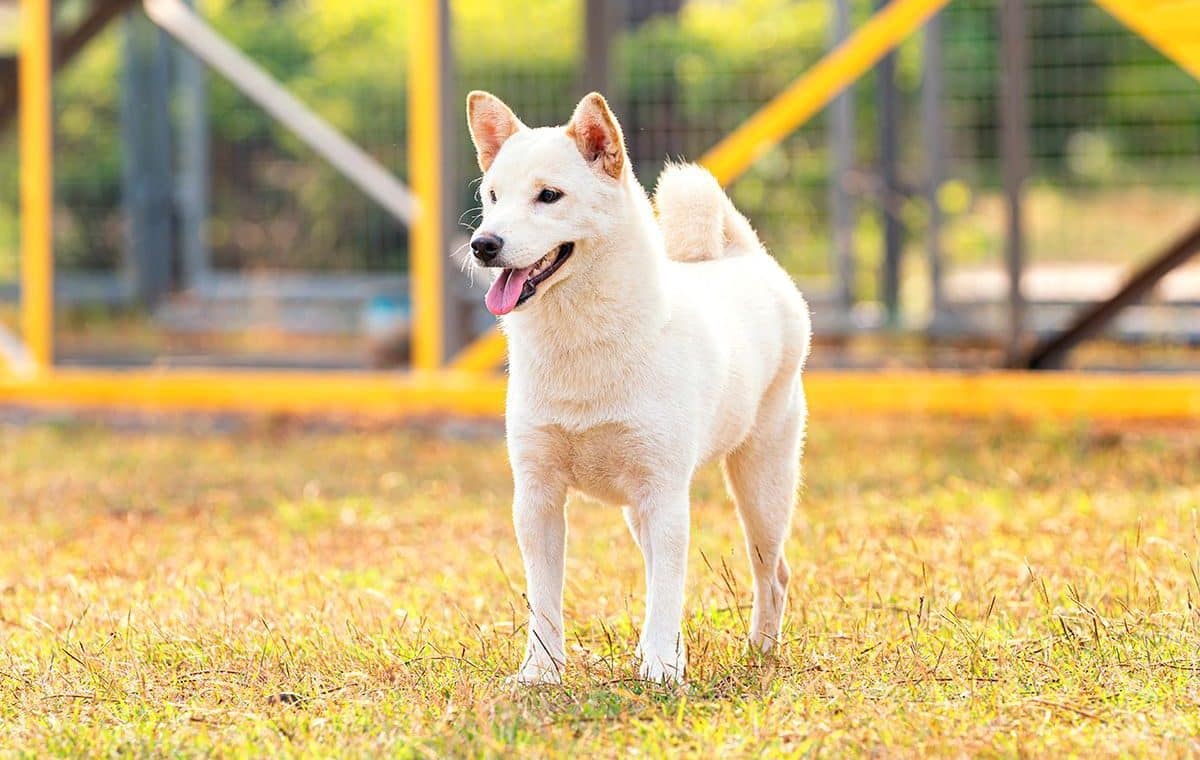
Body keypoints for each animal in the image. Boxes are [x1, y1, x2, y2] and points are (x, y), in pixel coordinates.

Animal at [463, 90, 811, 681]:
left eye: (548, 196)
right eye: (492, 196)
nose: (483, 243)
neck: (580, 347)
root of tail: (746, 258)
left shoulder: (665, 492)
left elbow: (668, 591)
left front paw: (661, 671)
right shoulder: (536, 496)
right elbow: (545, 600)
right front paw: (541, 672)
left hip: (761, 482)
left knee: (773, 573)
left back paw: (761, 650)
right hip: (638, 509)